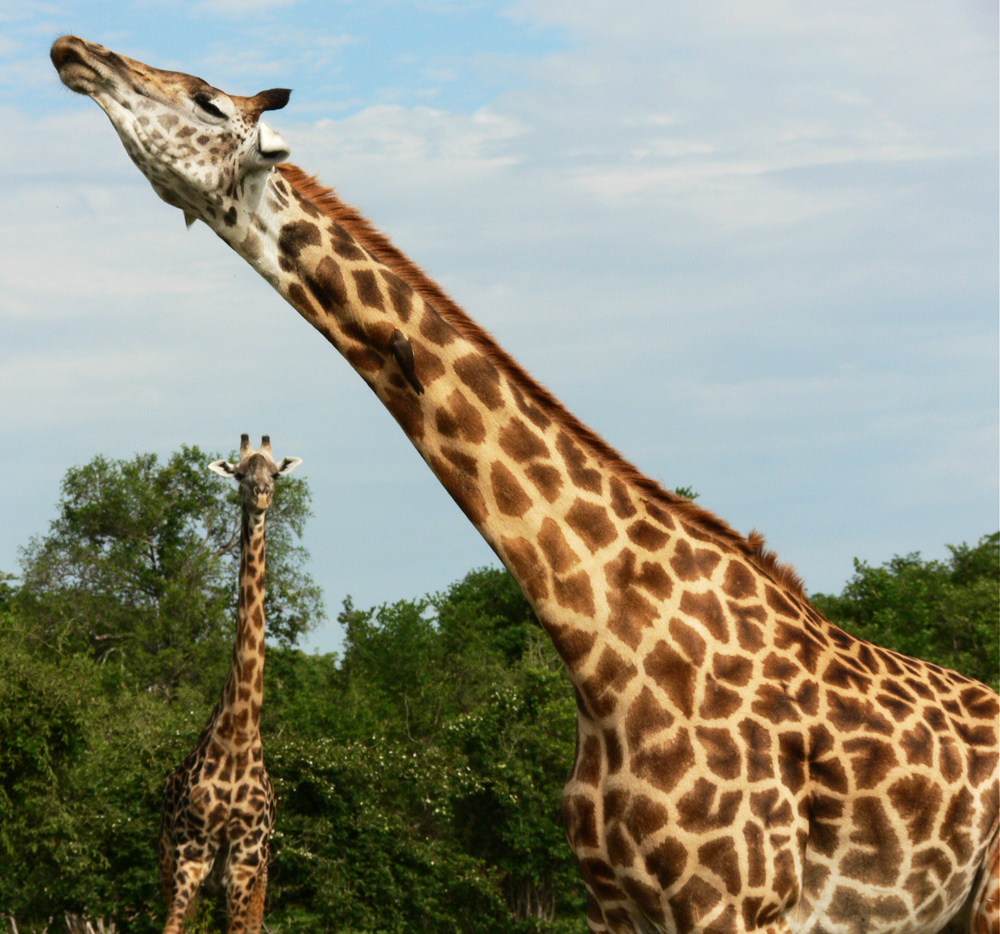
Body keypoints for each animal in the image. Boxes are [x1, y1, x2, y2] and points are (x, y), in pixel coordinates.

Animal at [158, 436, 300, 934]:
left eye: (273, 473)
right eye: (239, 474)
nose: (260, 494)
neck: (238, 736)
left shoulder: (244, 860)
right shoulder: (190, 853)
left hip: (261, 871)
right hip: (169, 858)